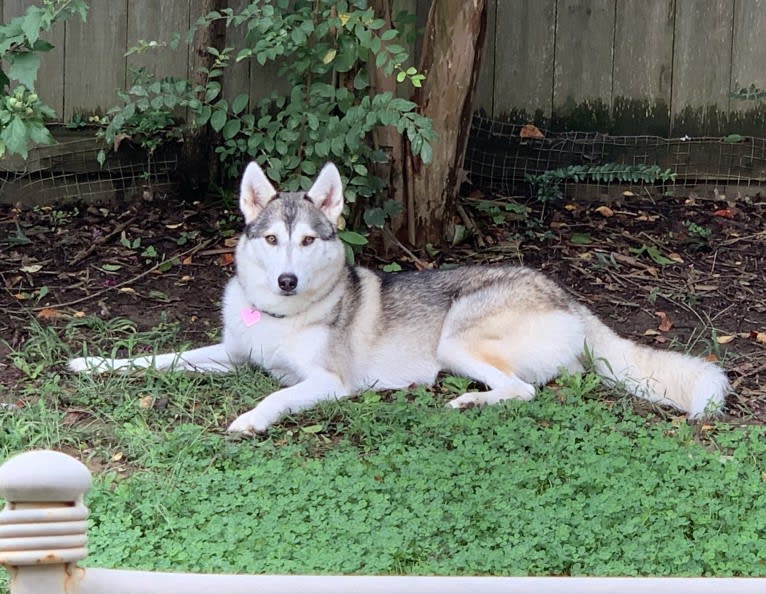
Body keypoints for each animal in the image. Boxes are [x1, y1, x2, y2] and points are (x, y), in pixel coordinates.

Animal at [70, 160, 732, 432]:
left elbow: (275, 397)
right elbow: (158, 359)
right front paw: (92, 363)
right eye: (273, 239)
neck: (282, 315)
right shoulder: (230, 355)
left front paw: (250, 419)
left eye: (308, 240)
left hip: (455, 337)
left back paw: (469, 401)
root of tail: (566, 296)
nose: (286, 280)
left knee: (521, 390)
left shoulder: (327, 383)